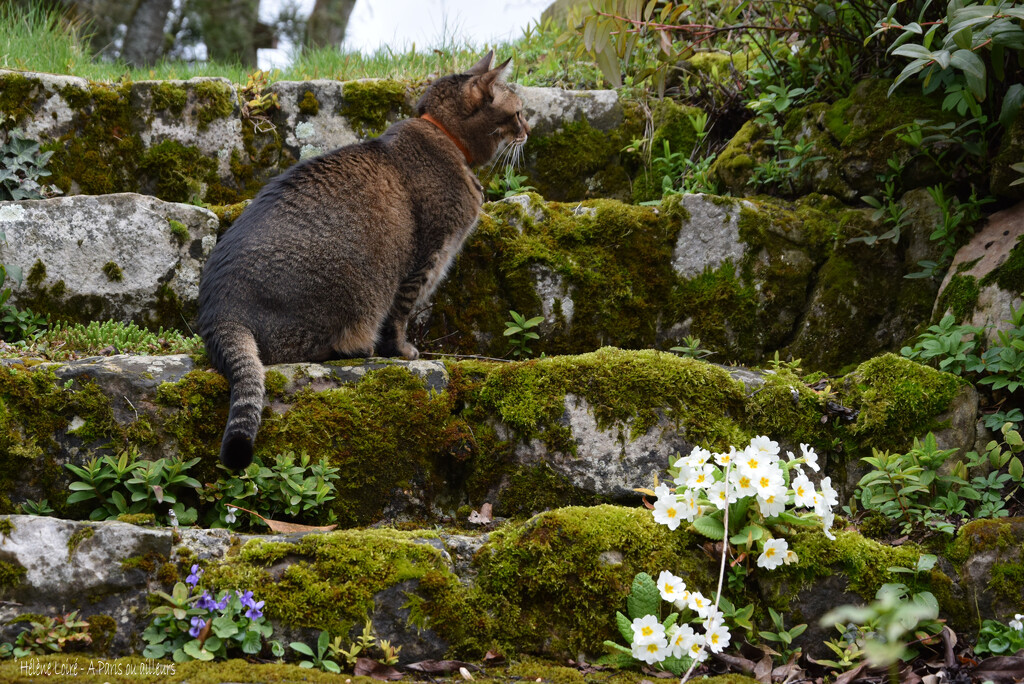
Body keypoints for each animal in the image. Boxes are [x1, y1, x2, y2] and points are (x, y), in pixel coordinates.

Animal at [200, 52, 536, 471]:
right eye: (518, 112)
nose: (529, 129)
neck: (443, 135)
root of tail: (220, 311)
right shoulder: (425, 258)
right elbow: (400, 317)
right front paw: (403, 352)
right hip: (350, 288)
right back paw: (356, 348)